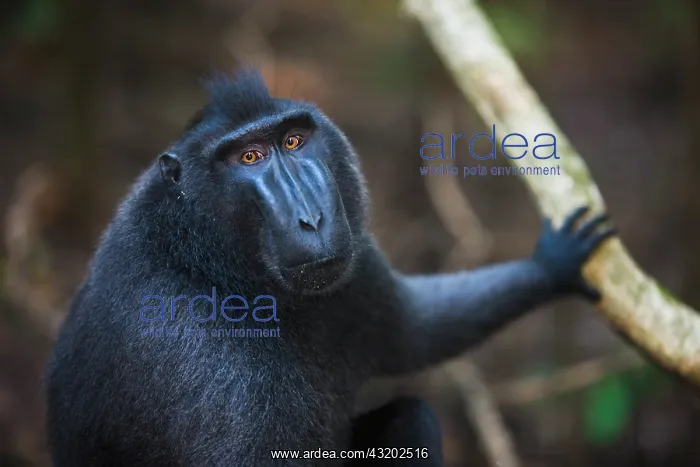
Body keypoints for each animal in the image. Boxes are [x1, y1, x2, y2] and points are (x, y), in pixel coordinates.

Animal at [44, 69, 616, 467]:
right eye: (250, 157)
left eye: (294, 141)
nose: (312, 217)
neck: (211, 267)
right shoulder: (206, 364)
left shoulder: (355, 273)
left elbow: (415, 329)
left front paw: (554, 264)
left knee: (412, 417)